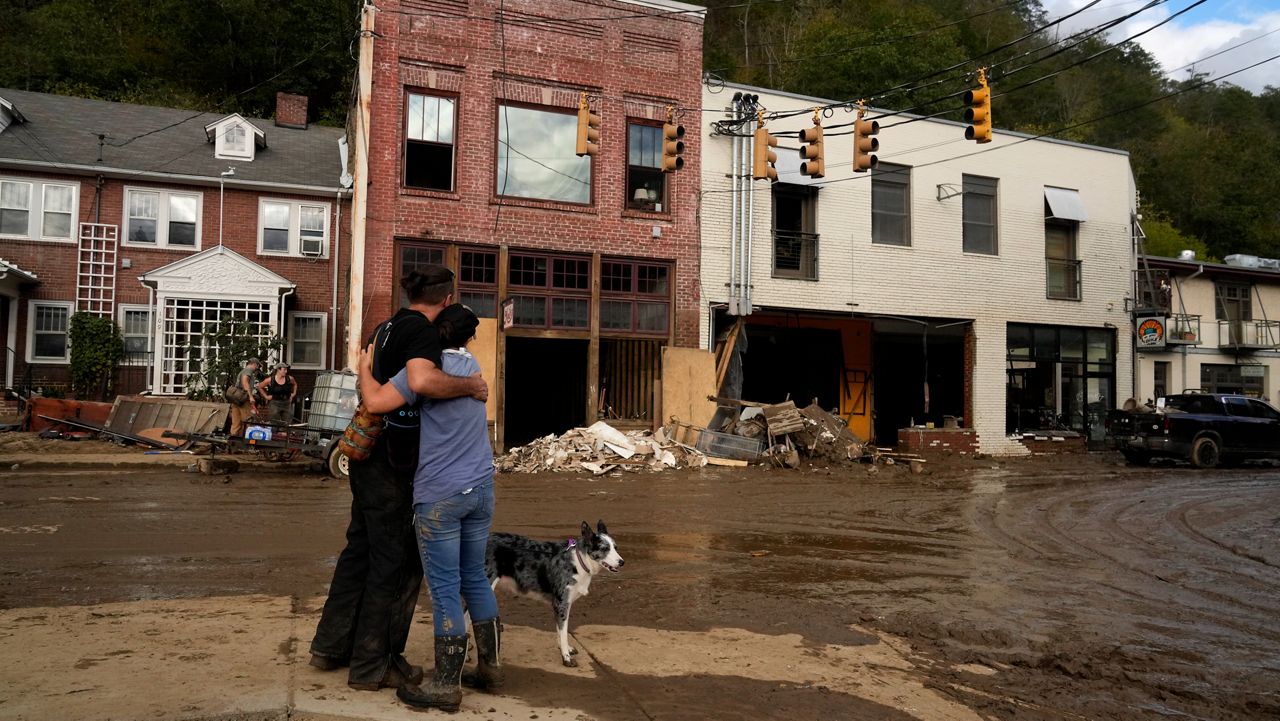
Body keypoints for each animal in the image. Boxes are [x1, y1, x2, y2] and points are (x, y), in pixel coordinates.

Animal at [483, 519, 624, 665]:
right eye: (604, 548)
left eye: (615, 547)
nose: (622, 562)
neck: (578, 560)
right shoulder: (561, 604)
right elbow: (563, 631)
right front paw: (566, 657)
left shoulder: (563, 604)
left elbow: (560, 630)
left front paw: (565, 649)